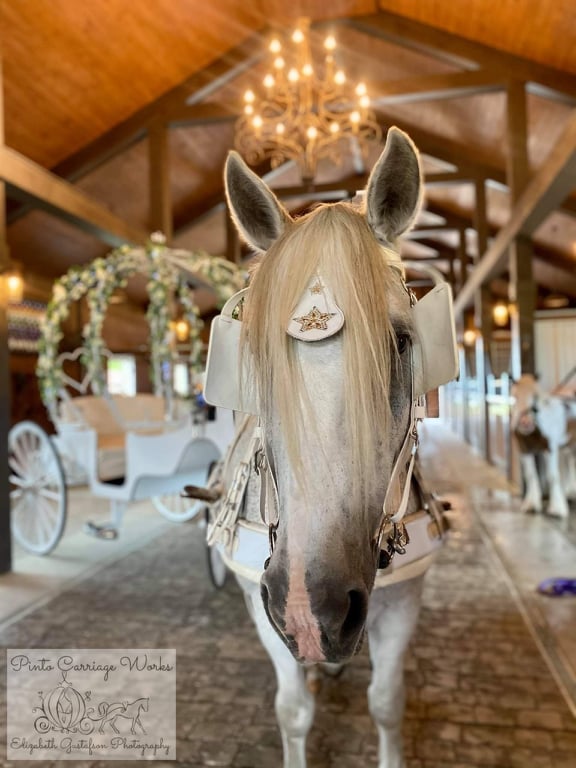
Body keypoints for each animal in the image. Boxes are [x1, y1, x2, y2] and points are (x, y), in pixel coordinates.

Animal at [199, 129, 460, 764]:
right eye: (255, 358)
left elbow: (386, 703)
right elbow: (293, 710)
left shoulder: (405, 598)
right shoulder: (262, 601)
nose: (308, 609)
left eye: (400, 342)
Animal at [510, 376, 572, 520]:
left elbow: (552, 475)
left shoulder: (550, 447)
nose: (525, 423)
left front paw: (557, 509)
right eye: (514, 397)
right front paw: (531, 505)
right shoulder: (524, 449)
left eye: (535, 398)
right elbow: (530, 474)